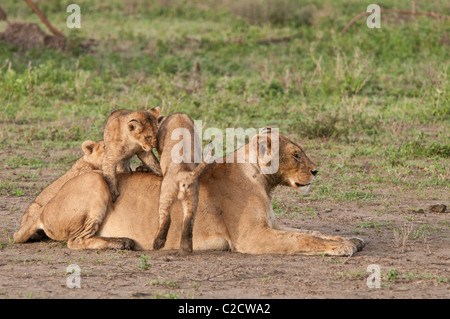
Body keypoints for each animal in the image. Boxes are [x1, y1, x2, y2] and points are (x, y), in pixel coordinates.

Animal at [16, 129, 366, 256]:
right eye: (296, 155)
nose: (317, 170)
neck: (261, 179)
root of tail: (42, 208)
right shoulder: (251, 237)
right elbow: (301, 240)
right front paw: (341, 248)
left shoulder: (272, 225)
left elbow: (310, 231)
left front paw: (351, 239)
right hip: (95, 182)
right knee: (75, 242)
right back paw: (122, 243)